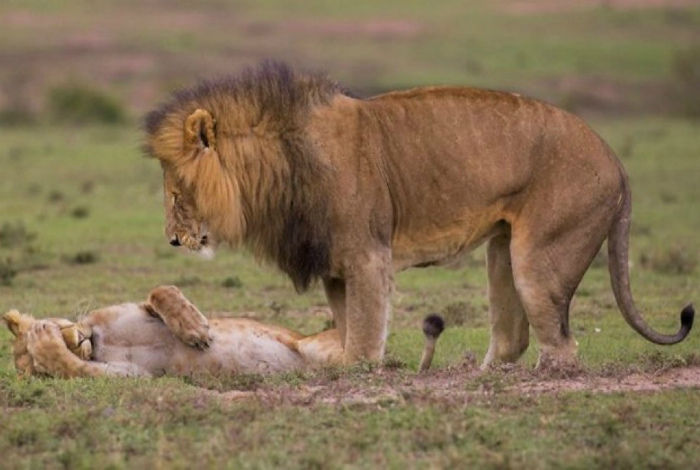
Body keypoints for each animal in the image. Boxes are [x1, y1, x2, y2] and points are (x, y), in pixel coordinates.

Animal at [144, 62, 696, 370]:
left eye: (176, 191)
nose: (171, 240)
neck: (279, 166)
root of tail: (615, 159)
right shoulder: (335, 269)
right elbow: (348, 327)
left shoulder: (368, 255)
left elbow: (364, 338)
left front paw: (356, 368)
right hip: (503, 251)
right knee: (512, 337)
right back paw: (479, 375)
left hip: (541, 256)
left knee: (562, 346)